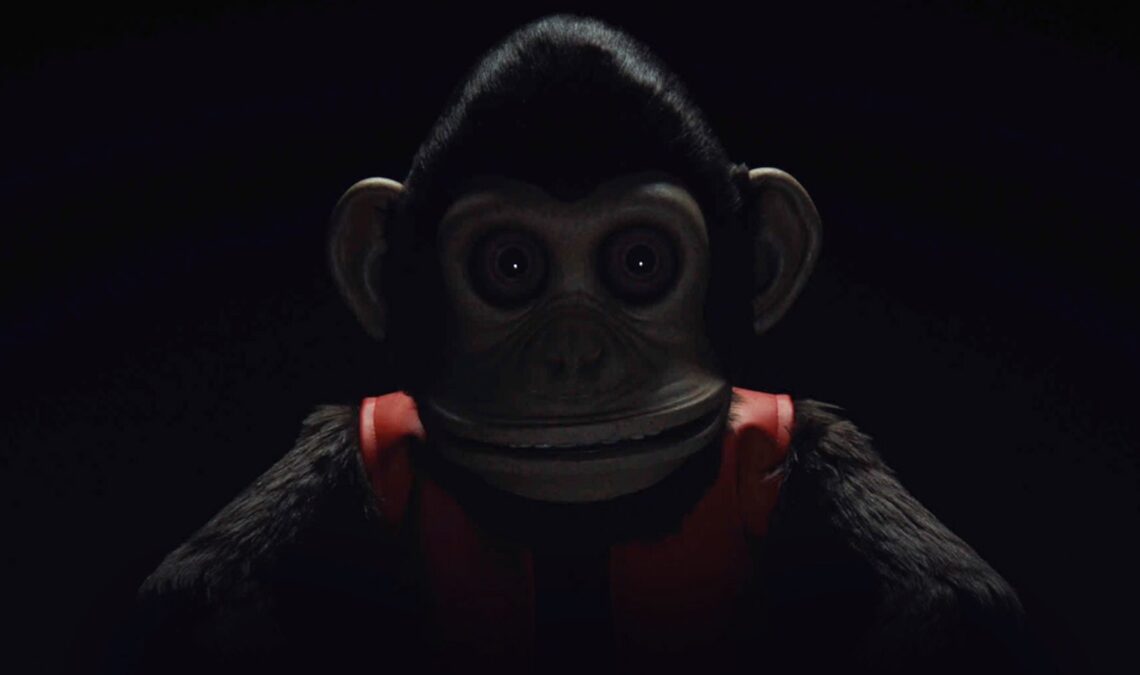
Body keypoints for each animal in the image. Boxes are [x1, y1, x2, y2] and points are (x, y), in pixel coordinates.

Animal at [127, 15, 1032, 675]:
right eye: (510, 265)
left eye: (640, 261)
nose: (572, 358)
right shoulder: (361, 437)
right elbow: (198, 591)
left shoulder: (797, 432)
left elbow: (956, 600)